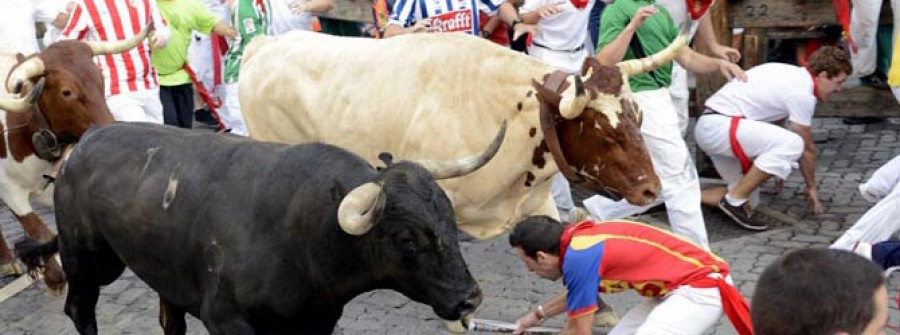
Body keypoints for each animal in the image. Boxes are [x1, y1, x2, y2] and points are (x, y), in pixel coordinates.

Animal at [15, 123, 506, 335]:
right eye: (406, 238)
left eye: (450, 217)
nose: (471, 298)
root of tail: (83, 142)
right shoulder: (226, 321)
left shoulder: (316, 324)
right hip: (88, 259)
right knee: (79, 309)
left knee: (169, 318)